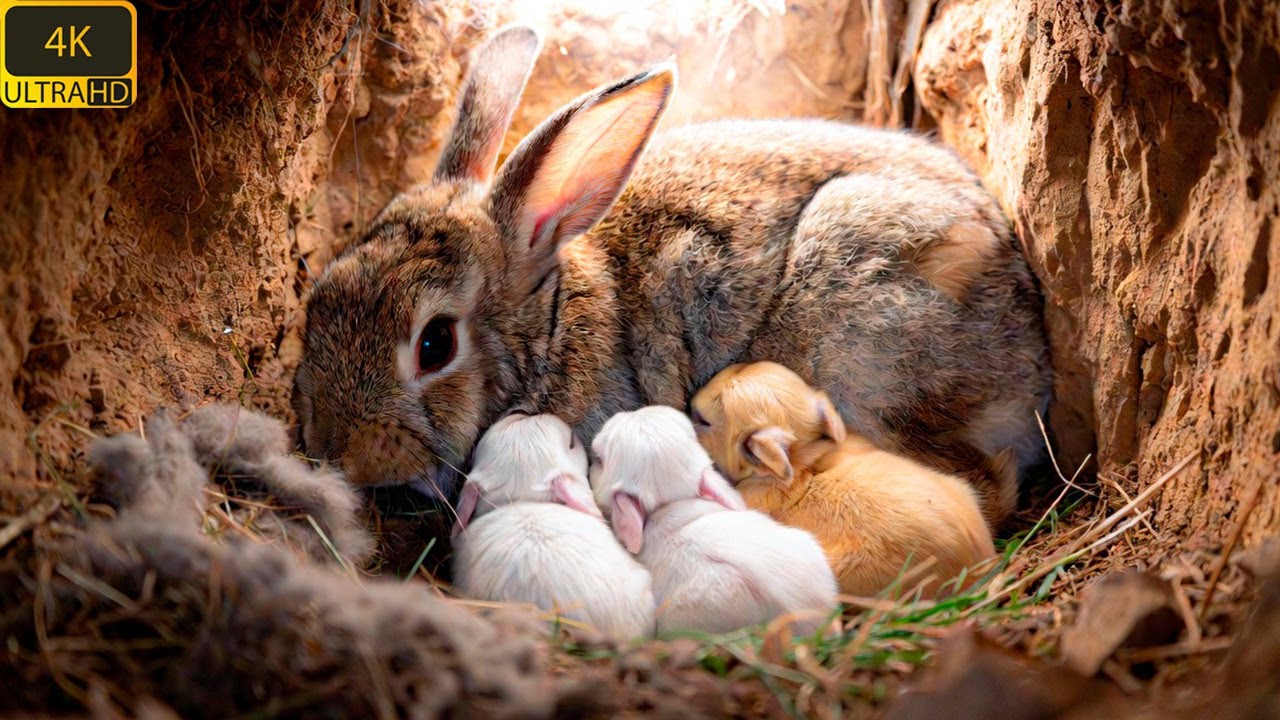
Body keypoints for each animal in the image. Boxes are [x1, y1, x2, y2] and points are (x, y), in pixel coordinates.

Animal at [292, 24, 1051, 530]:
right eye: (318, 297)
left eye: (435, 345)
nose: (333, 449)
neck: (551, 327)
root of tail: (1031, 349)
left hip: (860, 352)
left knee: (987, 484)